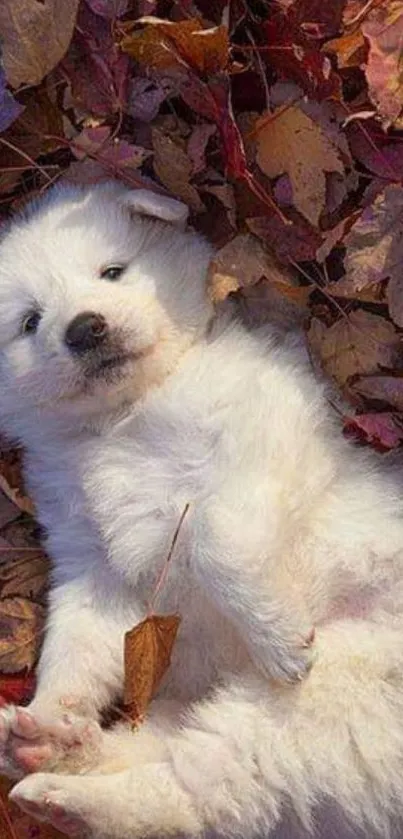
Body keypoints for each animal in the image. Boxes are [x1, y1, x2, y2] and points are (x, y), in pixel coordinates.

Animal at [0, 180, 403, 836]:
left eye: (112, 271)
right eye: (30, 322)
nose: (85, 328)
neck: (125, 417)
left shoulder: (258, 446)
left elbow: (216, 542)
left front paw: (279, 639)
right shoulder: (92, 563)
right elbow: (75, 642)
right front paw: (55, 706)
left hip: (333, 697)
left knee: (203, 791)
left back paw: (64, 787)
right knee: (181, 773)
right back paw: (46, 748)